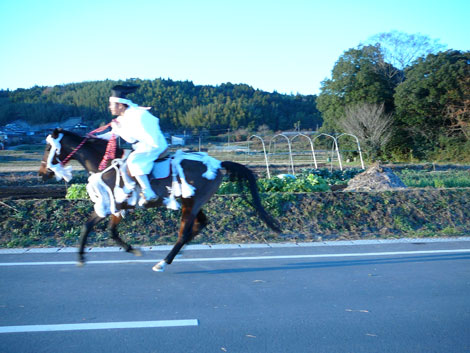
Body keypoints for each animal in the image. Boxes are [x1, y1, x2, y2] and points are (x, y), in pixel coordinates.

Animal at [38, 128, 280, 270]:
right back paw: (175, 255)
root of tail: (217, 164)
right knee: (199, 225)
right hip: (191, 200)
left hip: (192, 203)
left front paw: (84, 256)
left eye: (50, 147)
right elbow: (103, 229)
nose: (42, 174)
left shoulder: (114, 203)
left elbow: (97, 228)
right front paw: (127, 249)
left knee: (184, 232)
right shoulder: (117, 206)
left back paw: (164, 261)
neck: (104, 162)